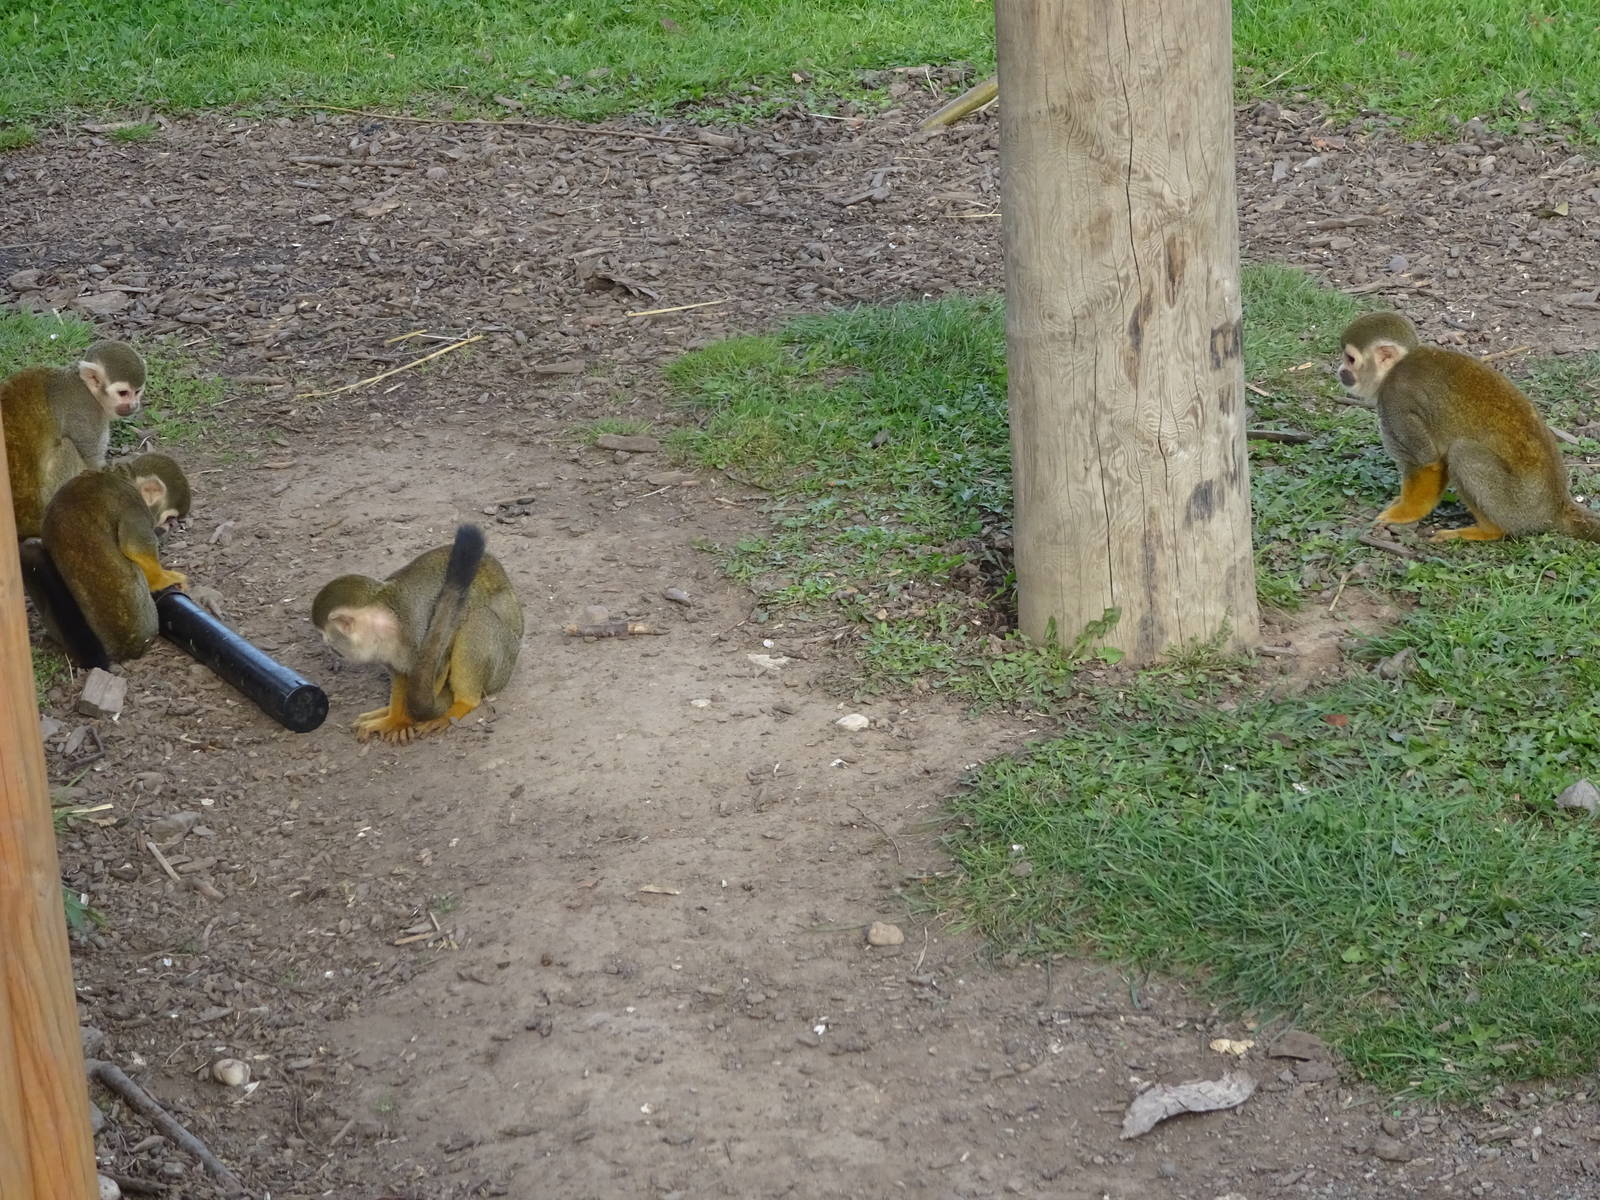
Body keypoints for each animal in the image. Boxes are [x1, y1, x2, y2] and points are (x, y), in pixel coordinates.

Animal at [1, 340, 147, 538]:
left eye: (137, 391)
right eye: (123, 393)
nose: (133, 405)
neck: (86, 388)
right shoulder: (86, 413)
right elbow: (91, 462)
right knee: (68, 447)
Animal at [38, 453, 192, 662]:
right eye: (169, 518)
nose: (169, 526)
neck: (123, 477)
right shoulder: (133, 505)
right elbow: (133, 546)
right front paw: (162, 579)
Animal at [311, 524, 523, 744]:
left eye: (326, 635)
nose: (326, 644)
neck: (386, 624)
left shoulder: (417, 625)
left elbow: (436, 667)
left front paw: (406, 720)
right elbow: (401, 674)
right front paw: (394, 719)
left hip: (503, 664)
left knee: (479, 618)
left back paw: (462, 704)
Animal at [1337, 312, 1600, 544]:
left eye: (1350, 359)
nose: (1341, 371)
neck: (1396, 368)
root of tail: (1557, 507)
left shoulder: (1396, 404)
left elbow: (1427, 461)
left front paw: (1405, 513)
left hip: (1517, 508)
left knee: (1462, 452)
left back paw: (1489, 531)